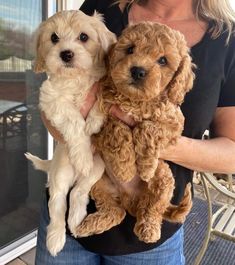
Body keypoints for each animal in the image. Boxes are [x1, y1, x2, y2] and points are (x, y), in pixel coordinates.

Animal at [25, 10, 115, 256]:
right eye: (54, 38)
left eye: (83, 37)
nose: (66, 54)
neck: (75, 78)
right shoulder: (51, 100)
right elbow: (73, 118)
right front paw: (81, 154)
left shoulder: (103, 85)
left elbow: (100, 100)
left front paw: (93, 122)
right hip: (59, 179)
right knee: (57, 207)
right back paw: (55, 239)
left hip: (97, 168)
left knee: (78, 193)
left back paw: (76, 221)